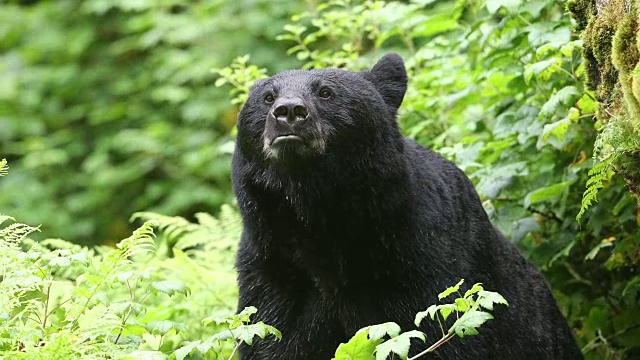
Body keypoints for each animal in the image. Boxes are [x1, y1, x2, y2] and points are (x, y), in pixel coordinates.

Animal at [232, 52, 584, 358]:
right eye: (267, 97)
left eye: (326, 92)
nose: (289, 111)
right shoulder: (273, 269)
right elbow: (271, 338)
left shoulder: (425, 259)